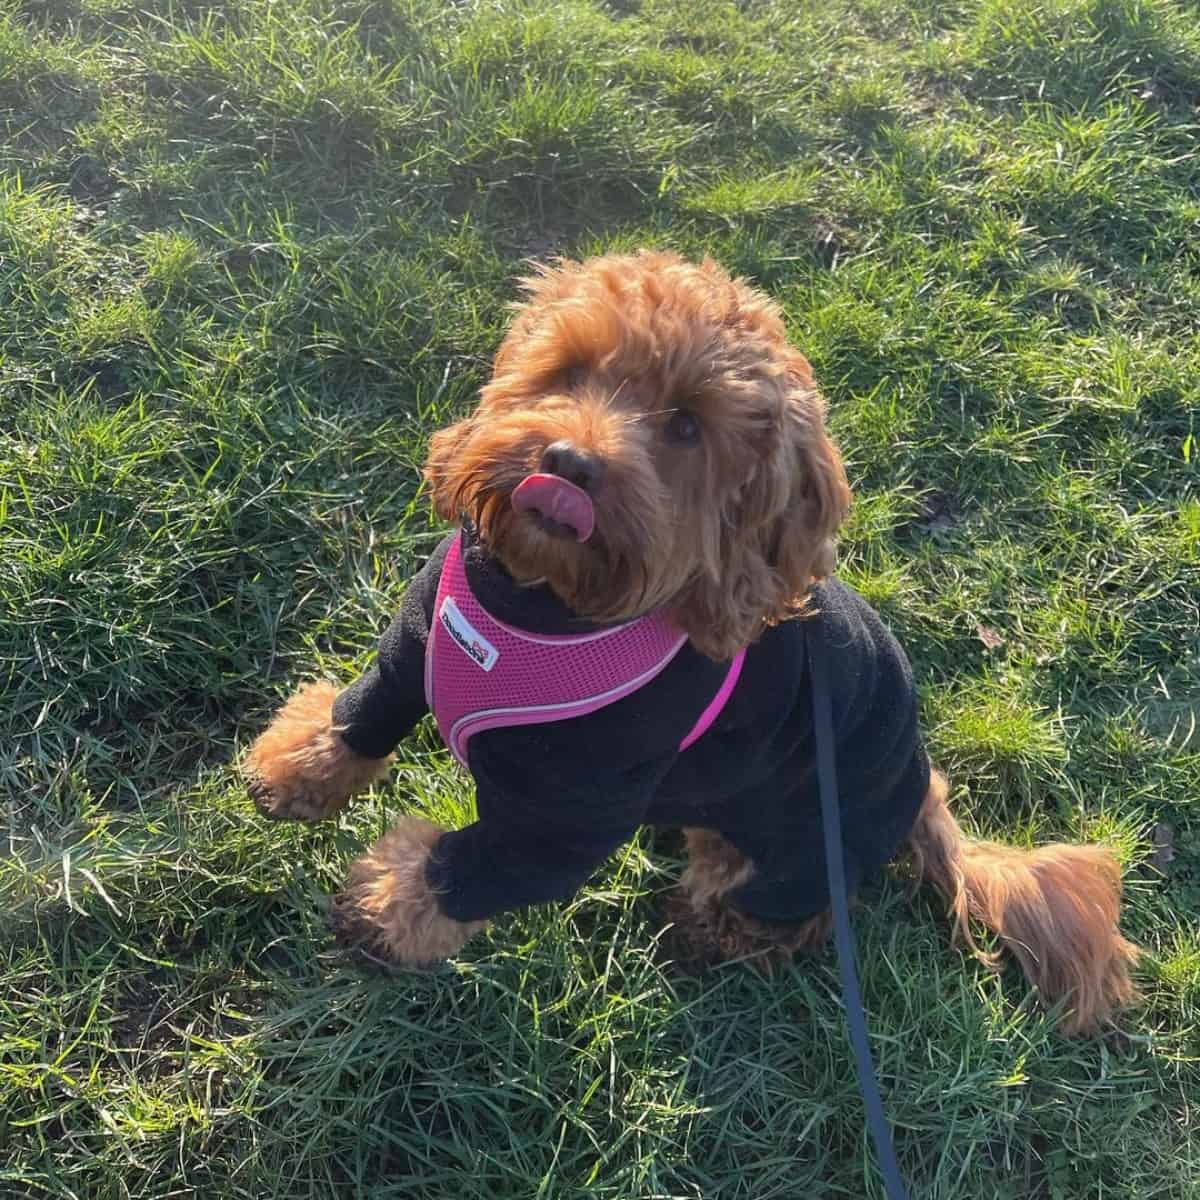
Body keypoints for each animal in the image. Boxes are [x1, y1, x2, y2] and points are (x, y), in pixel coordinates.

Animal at [243, 250, 1132, 1032]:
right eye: (570, 370)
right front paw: (295, 770)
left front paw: (379, 915)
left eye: (684, 427)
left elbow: (459, 871)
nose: (567, 464)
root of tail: (921, 794)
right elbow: (358, 718)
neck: (539, 609)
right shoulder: (413, 649)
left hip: (795, 850)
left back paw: (701, 936)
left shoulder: (565, 822)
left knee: (780, 915)